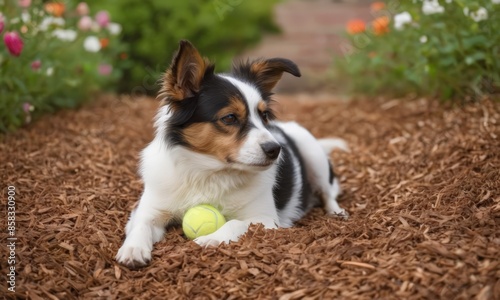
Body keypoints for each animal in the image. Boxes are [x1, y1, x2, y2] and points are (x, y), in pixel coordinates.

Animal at [116, 40, 348, 270]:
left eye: (264, 115)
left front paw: (209, 239)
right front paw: (133, 248)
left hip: (312, 152)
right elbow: (141, 225)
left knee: (328, 194)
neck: (208, 173)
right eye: (229, 118)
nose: (275, 149)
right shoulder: (148, 210)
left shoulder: (266, 218)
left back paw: (336, 213)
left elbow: (235, 223)